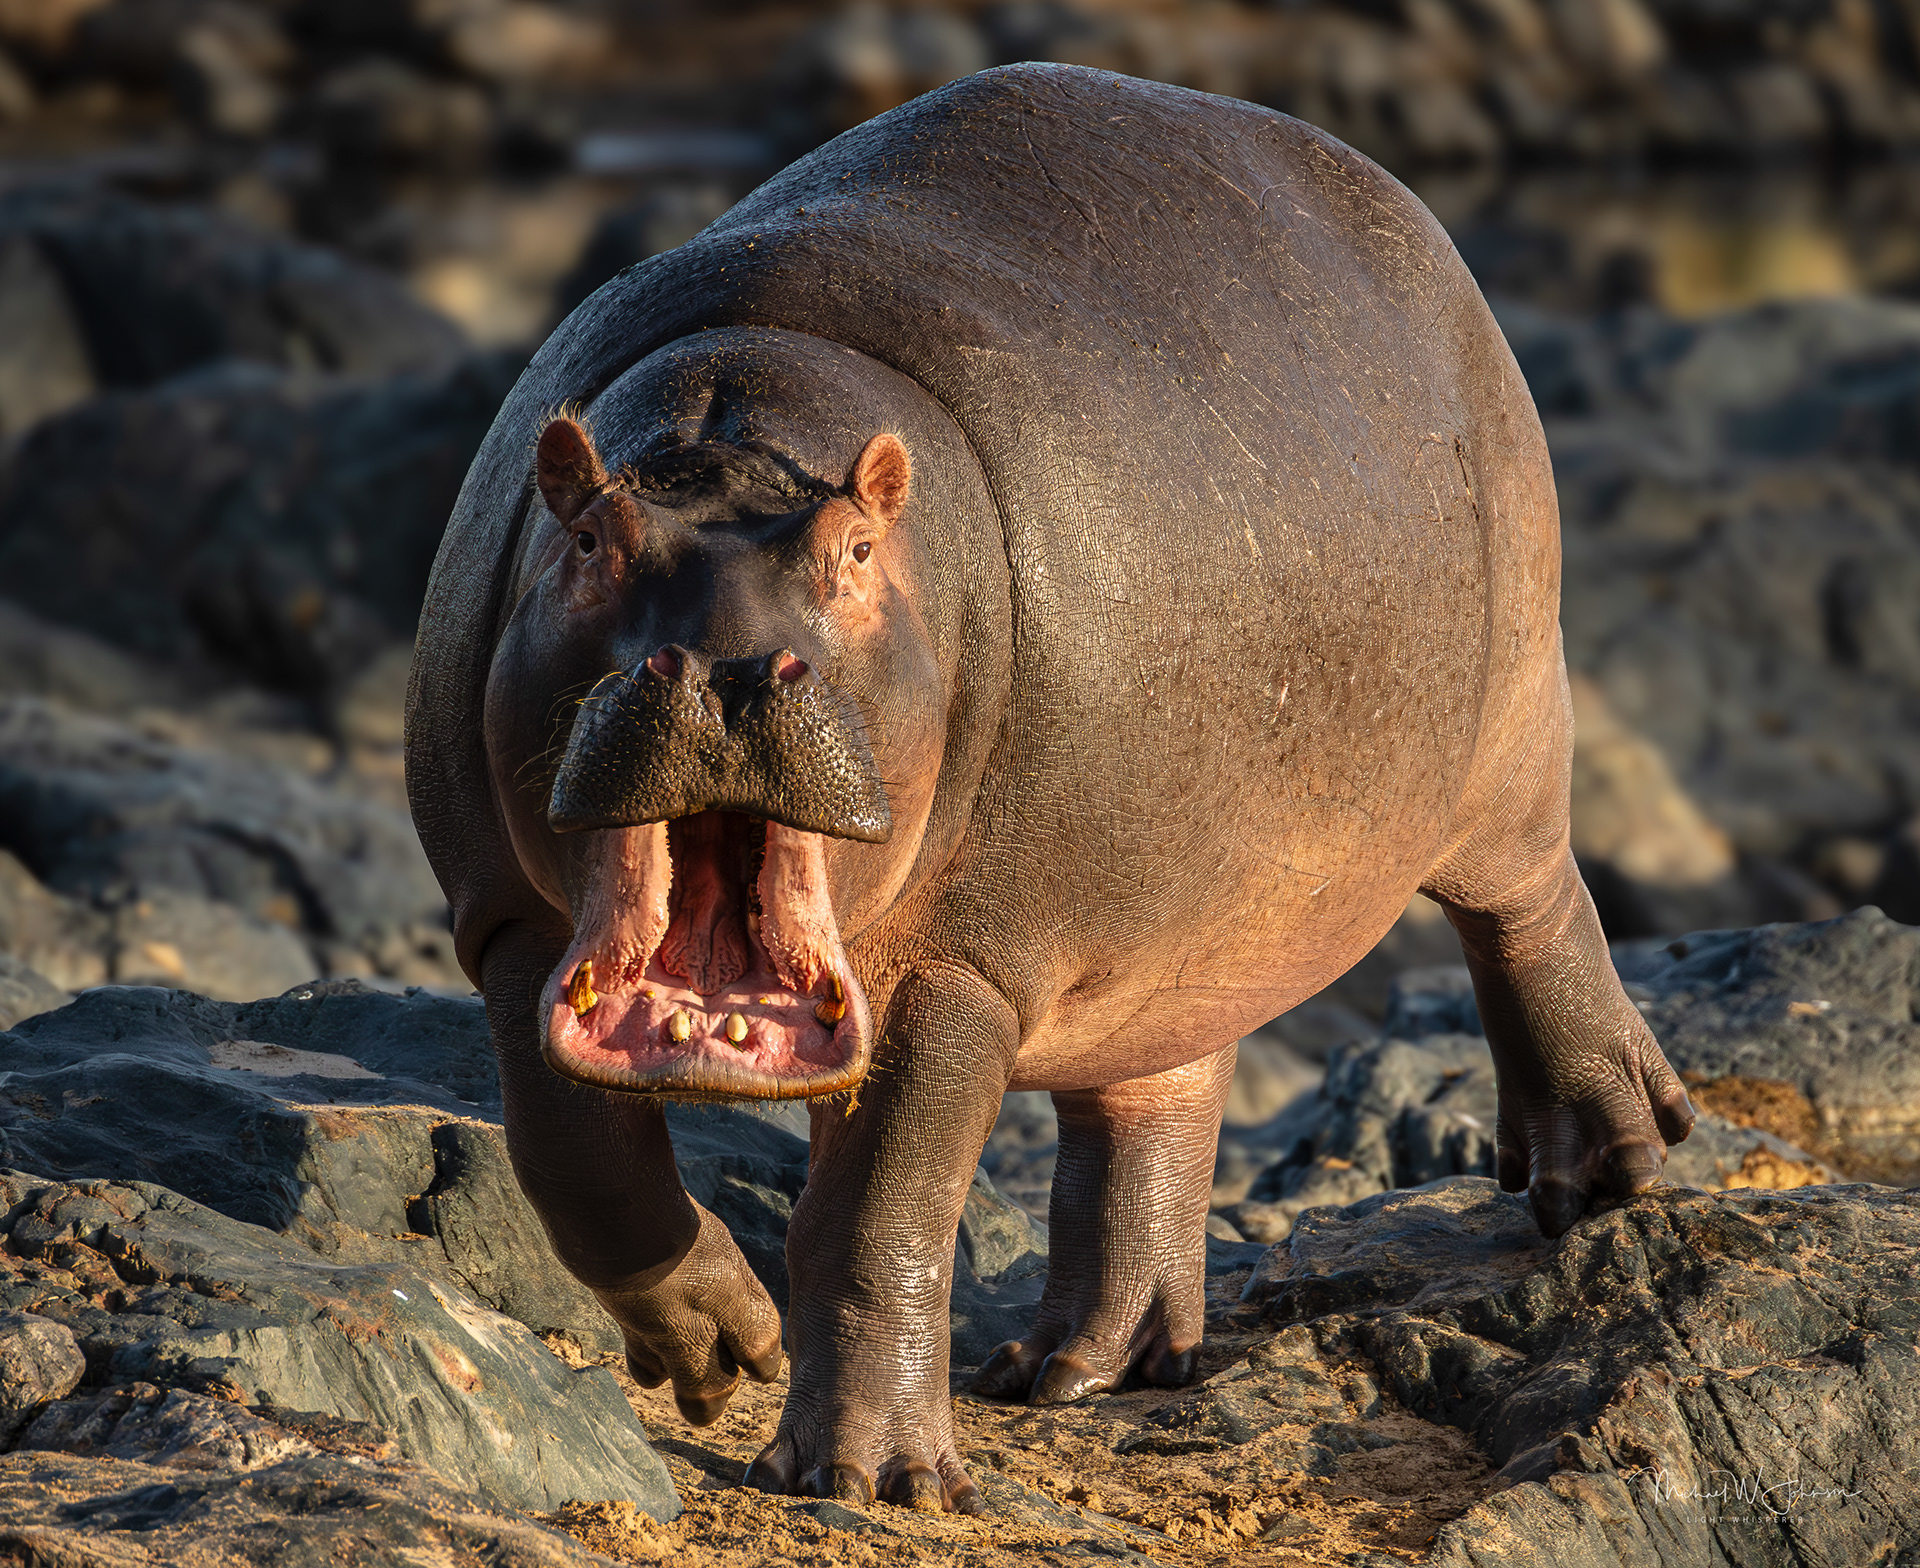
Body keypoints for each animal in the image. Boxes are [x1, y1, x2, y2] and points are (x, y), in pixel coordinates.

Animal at [405, 63, 1695, 1513]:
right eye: (585, 537)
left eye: (857, 549)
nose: (729, 667)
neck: (739, 424)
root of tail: (1402, 212)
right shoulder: (510, 925)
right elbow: (578, 1170)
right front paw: (721, 1354)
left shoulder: (967, 963)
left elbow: (878, 1220)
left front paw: (871, 1478)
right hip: (1178, 911)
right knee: (1151, 1104)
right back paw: (1082, 1369)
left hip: (1513, 717)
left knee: (1531, 907)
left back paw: (1609, 1166)